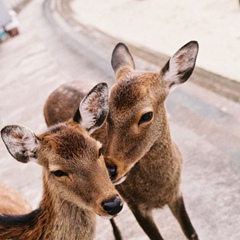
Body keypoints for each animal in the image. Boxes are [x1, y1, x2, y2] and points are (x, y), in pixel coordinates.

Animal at [42, 40, 199, 238]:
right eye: (108, 115)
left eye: (147, 115)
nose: (109, 169)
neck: (160, 190)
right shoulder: (135, 205)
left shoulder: (177, 193)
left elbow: (191, 232)